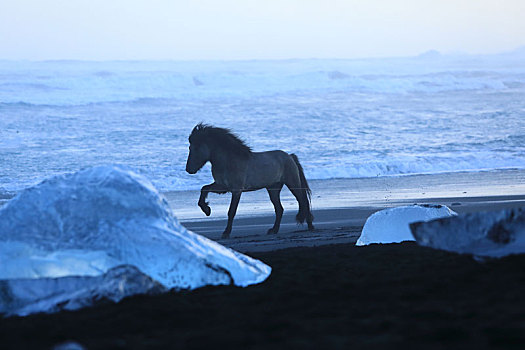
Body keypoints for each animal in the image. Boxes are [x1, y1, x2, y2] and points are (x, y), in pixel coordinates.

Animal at [185, 123, 314, 238]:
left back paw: (310, 226)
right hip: (273, 189)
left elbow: (231, 211)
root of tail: (289, 156)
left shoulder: (236, 190)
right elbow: (204, 189)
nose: (188, 169)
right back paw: (273, 230)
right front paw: (207, 210)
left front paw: (226, 233)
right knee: (279, 209)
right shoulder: (222, 187)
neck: (228, 161)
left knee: (302, 201)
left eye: (194, 148)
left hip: (293, 184)